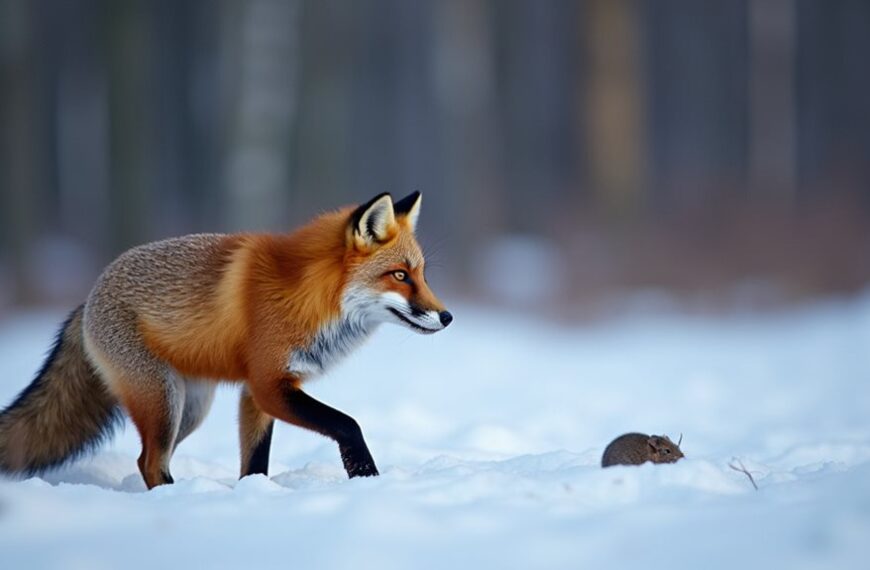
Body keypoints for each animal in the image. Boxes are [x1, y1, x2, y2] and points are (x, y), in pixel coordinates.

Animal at [0, 191, 452, 488]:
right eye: (399, 275)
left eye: (423, 275)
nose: (447, 317)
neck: (310, 297)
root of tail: (88, 299)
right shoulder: (269, 384)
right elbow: (348, 423)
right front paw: (365, 475)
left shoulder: (257, 392)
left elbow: (255, 461)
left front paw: (253, 497)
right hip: (162, 401)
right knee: (149, 461)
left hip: (190, 409)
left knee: (150, 458)